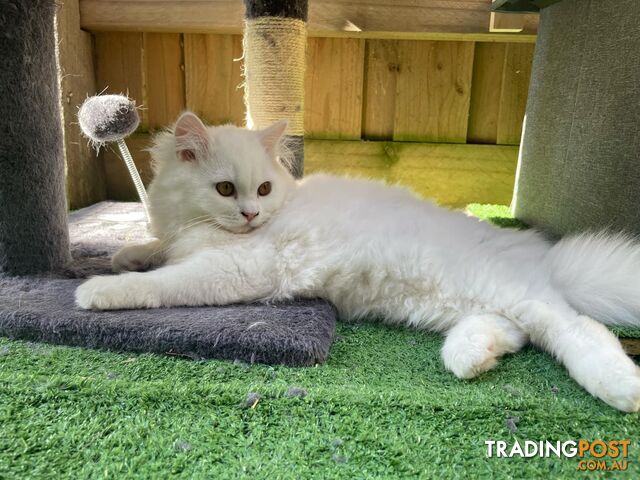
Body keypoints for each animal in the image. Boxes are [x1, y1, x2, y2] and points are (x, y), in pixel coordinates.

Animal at [76, 112, 640, 412]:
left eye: (263, 189)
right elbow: (152, 250)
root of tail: (543, 254)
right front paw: (124, 255)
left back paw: (622, 390)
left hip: (511, 293)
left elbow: (164, 281)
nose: (252, 213)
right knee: (512, 333)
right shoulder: (185, 240)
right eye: (225, 189)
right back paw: (470, 358)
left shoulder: (238, 268)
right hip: (463, 303)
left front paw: (96, 291)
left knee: (579, 330)